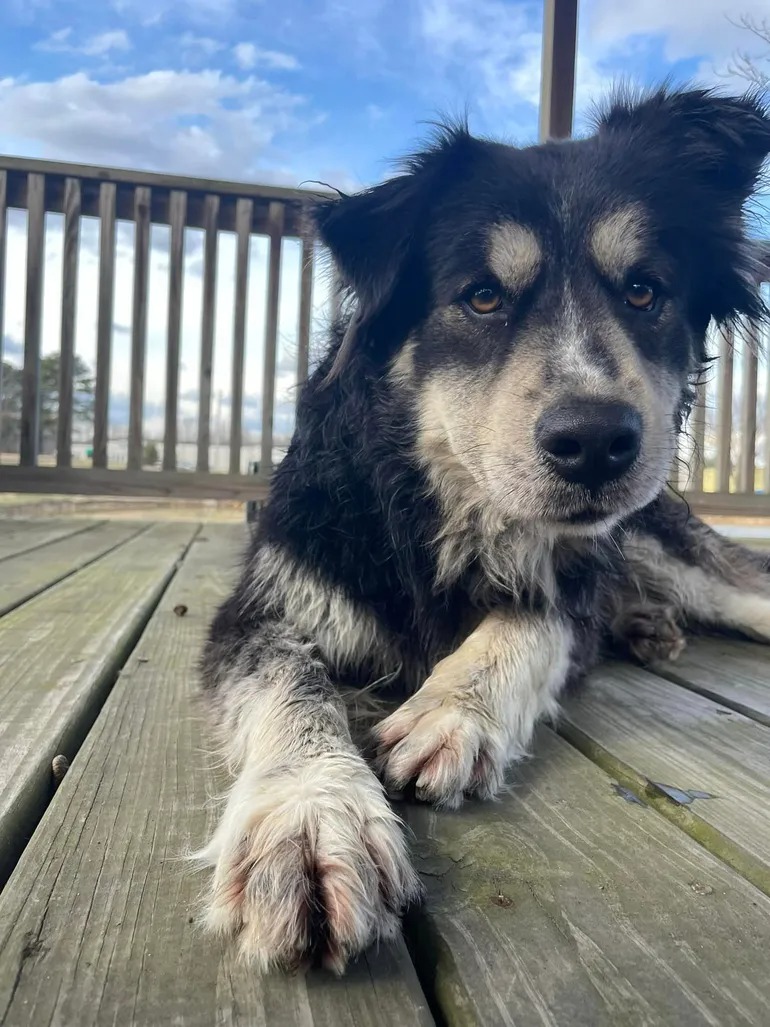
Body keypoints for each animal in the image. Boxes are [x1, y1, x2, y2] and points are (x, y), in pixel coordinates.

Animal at [193, 86, 770, 969]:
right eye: (482, 296)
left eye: (644, 291)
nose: (596, 441)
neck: (441, 512)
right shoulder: (265, 606)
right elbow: (291, 685)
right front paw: (311, 815)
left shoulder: (570, 585)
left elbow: (531, 620)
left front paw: (455, 707)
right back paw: (650, 627)